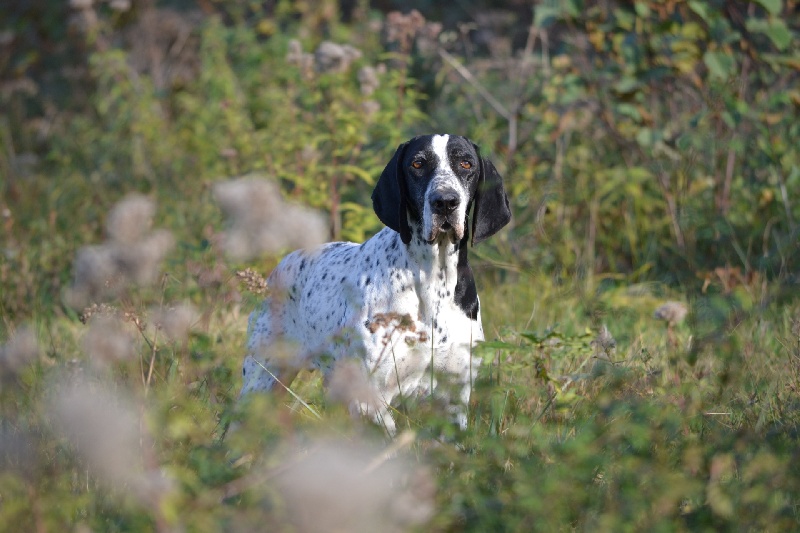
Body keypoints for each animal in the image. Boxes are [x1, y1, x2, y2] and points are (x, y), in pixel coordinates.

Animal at [239, 132, 512, 432]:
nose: (445, 202)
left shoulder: (453, 399)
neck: (432, 280)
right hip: (260, 383)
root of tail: (283, 265)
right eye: (417, 164)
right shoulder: (369, 400)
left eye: (466, 164)